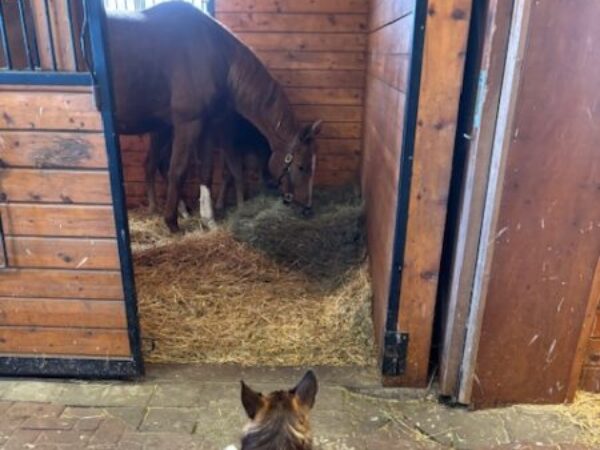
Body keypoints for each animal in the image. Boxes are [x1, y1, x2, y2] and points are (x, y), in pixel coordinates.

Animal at [108, 3, 324, 234]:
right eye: (301, 166)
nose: (307, 208)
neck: (213, 55)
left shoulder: (207, 125)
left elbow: (207, 171)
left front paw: (208, 219)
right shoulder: (188, 124)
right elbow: (179, 170)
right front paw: (172, 223)